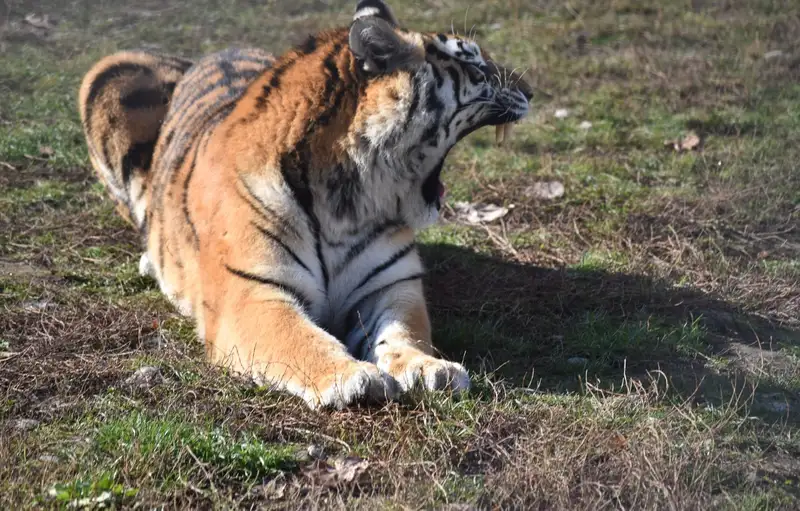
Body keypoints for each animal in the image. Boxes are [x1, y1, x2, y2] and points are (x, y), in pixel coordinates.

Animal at [79, 0, 532, 410]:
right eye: (476, 67)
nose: (530, 91)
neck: (349, 198)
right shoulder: (252, 292)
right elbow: (301, 338)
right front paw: (353, 376)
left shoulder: (389, 285)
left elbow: (404, 333)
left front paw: (428, 368)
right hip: (107, 75)